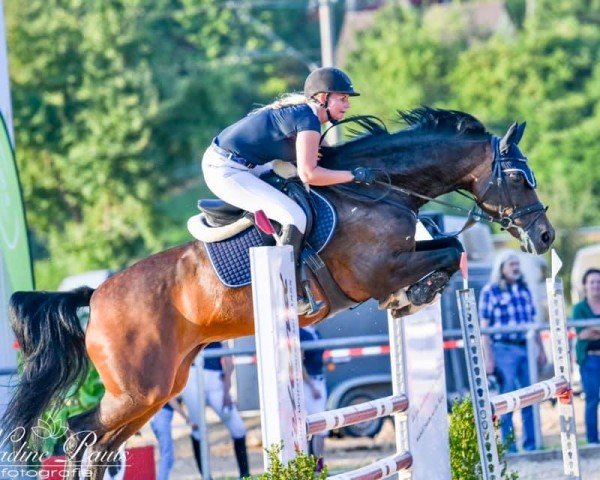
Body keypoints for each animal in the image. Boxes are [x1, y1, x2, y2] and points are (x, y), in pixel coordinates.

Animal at [1, 107, 552, 478]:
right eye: (520, 178)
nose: (545, 237)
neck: (378, 189)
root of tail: (95, 296)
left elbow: (447, 247)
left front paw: (412, 296)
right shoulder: (378, 270)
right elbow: (449, 252)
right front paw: (414, 294)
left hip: (159, 387)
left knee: (95, 443)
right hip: (140, 388)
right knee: (80, 435)